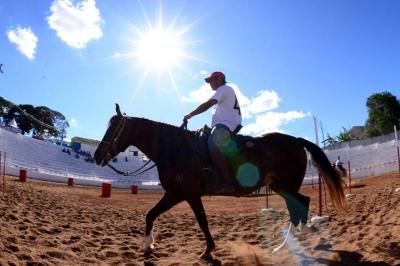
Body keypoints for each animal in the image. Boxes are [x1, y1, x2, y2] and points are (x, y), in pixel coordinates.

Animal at [93, 103, 344, 260]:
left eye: (114, 129)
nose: (96, 156)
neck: (176, 148)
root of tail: (296, 141)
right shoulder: (184, 195)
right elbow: (156, 215)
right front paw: (150, 245)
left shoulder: (181, 194)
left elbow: (193, 220)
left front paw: (206, 250)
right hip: (279, 186)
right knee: (301, 204)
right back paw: (296, 238)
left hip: (286, 185)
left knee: (300, 205)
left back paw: (289, 242)